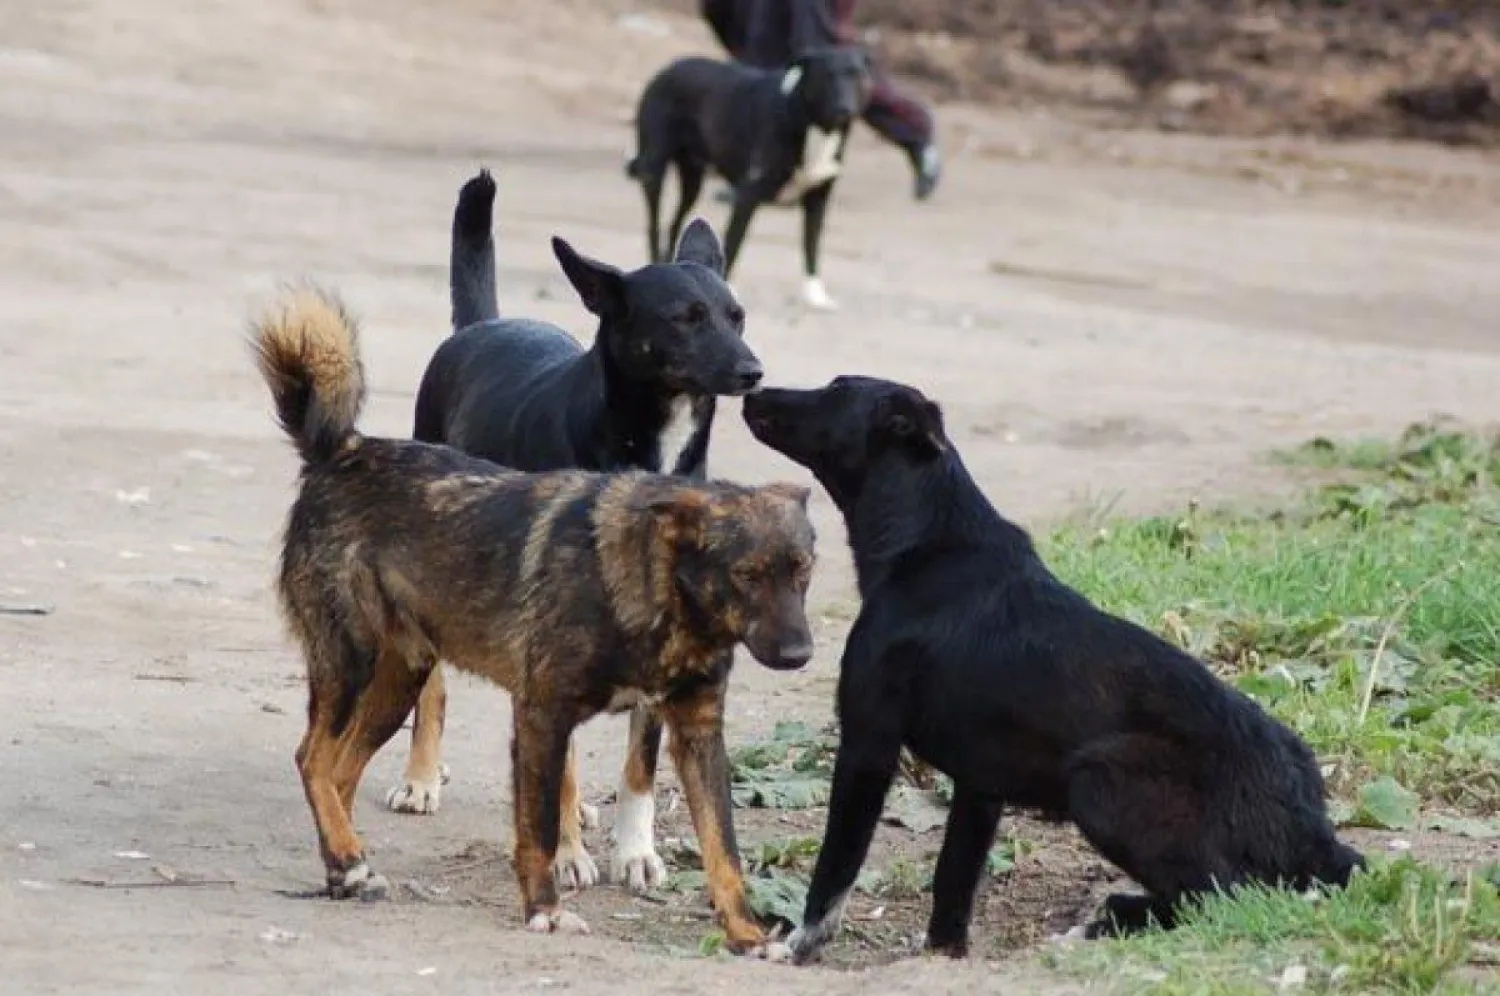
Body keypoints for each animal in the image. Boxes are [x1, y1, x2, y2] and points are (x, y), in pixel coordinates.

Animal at [255, 282, 822, 948]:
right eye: (747, 575)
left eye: (803, 571)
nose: (800, 655)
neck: (659, 590)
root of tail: (343, 450)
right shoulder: (543, 716)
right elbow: (542, 830)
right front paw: (545, 908)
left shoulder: (698, 732)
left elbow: (723, 848)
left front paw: (748, 935)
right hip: (350, 662)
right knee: (312, 759)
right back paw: (348, 859)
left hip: (398, 679)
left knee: (339, 771)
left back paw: (346, 866)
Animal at [387, 167, 762, 900]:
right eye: (685, 318)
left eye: (737, 316)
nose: (753, 371)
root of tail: (484, 324)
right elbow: (557, 761)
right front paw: (563, 854)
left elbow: (640, 763)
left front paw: (635, 850)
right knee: (436, 679)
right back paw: (421, 777)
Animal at [624, 45, 876, 312]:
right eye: (826, 76)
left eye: (857, 75)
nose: (844, 109)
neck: (814, 127)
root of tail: (671, 67)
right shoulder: (747, 197)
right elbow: (734, 245)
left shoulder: (818, 200)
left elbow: (812, 247)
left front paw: (814, 294)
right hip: (654, 170)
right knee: (654, 223)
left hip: (693, 181)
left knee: (675, 223)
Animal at [744, 375, 1368, 966]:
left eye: (835, 389)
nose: (753, 388)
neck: (927, 541)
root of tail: (1311, 826)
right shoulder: (980, 783)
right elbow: (952, 883)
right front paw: (945, 956)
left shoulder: (867, 746)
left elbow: (835, 871)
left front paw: (797, 947)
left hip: (1099, 781)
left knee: (1220, 896)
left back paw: (1102, 922)